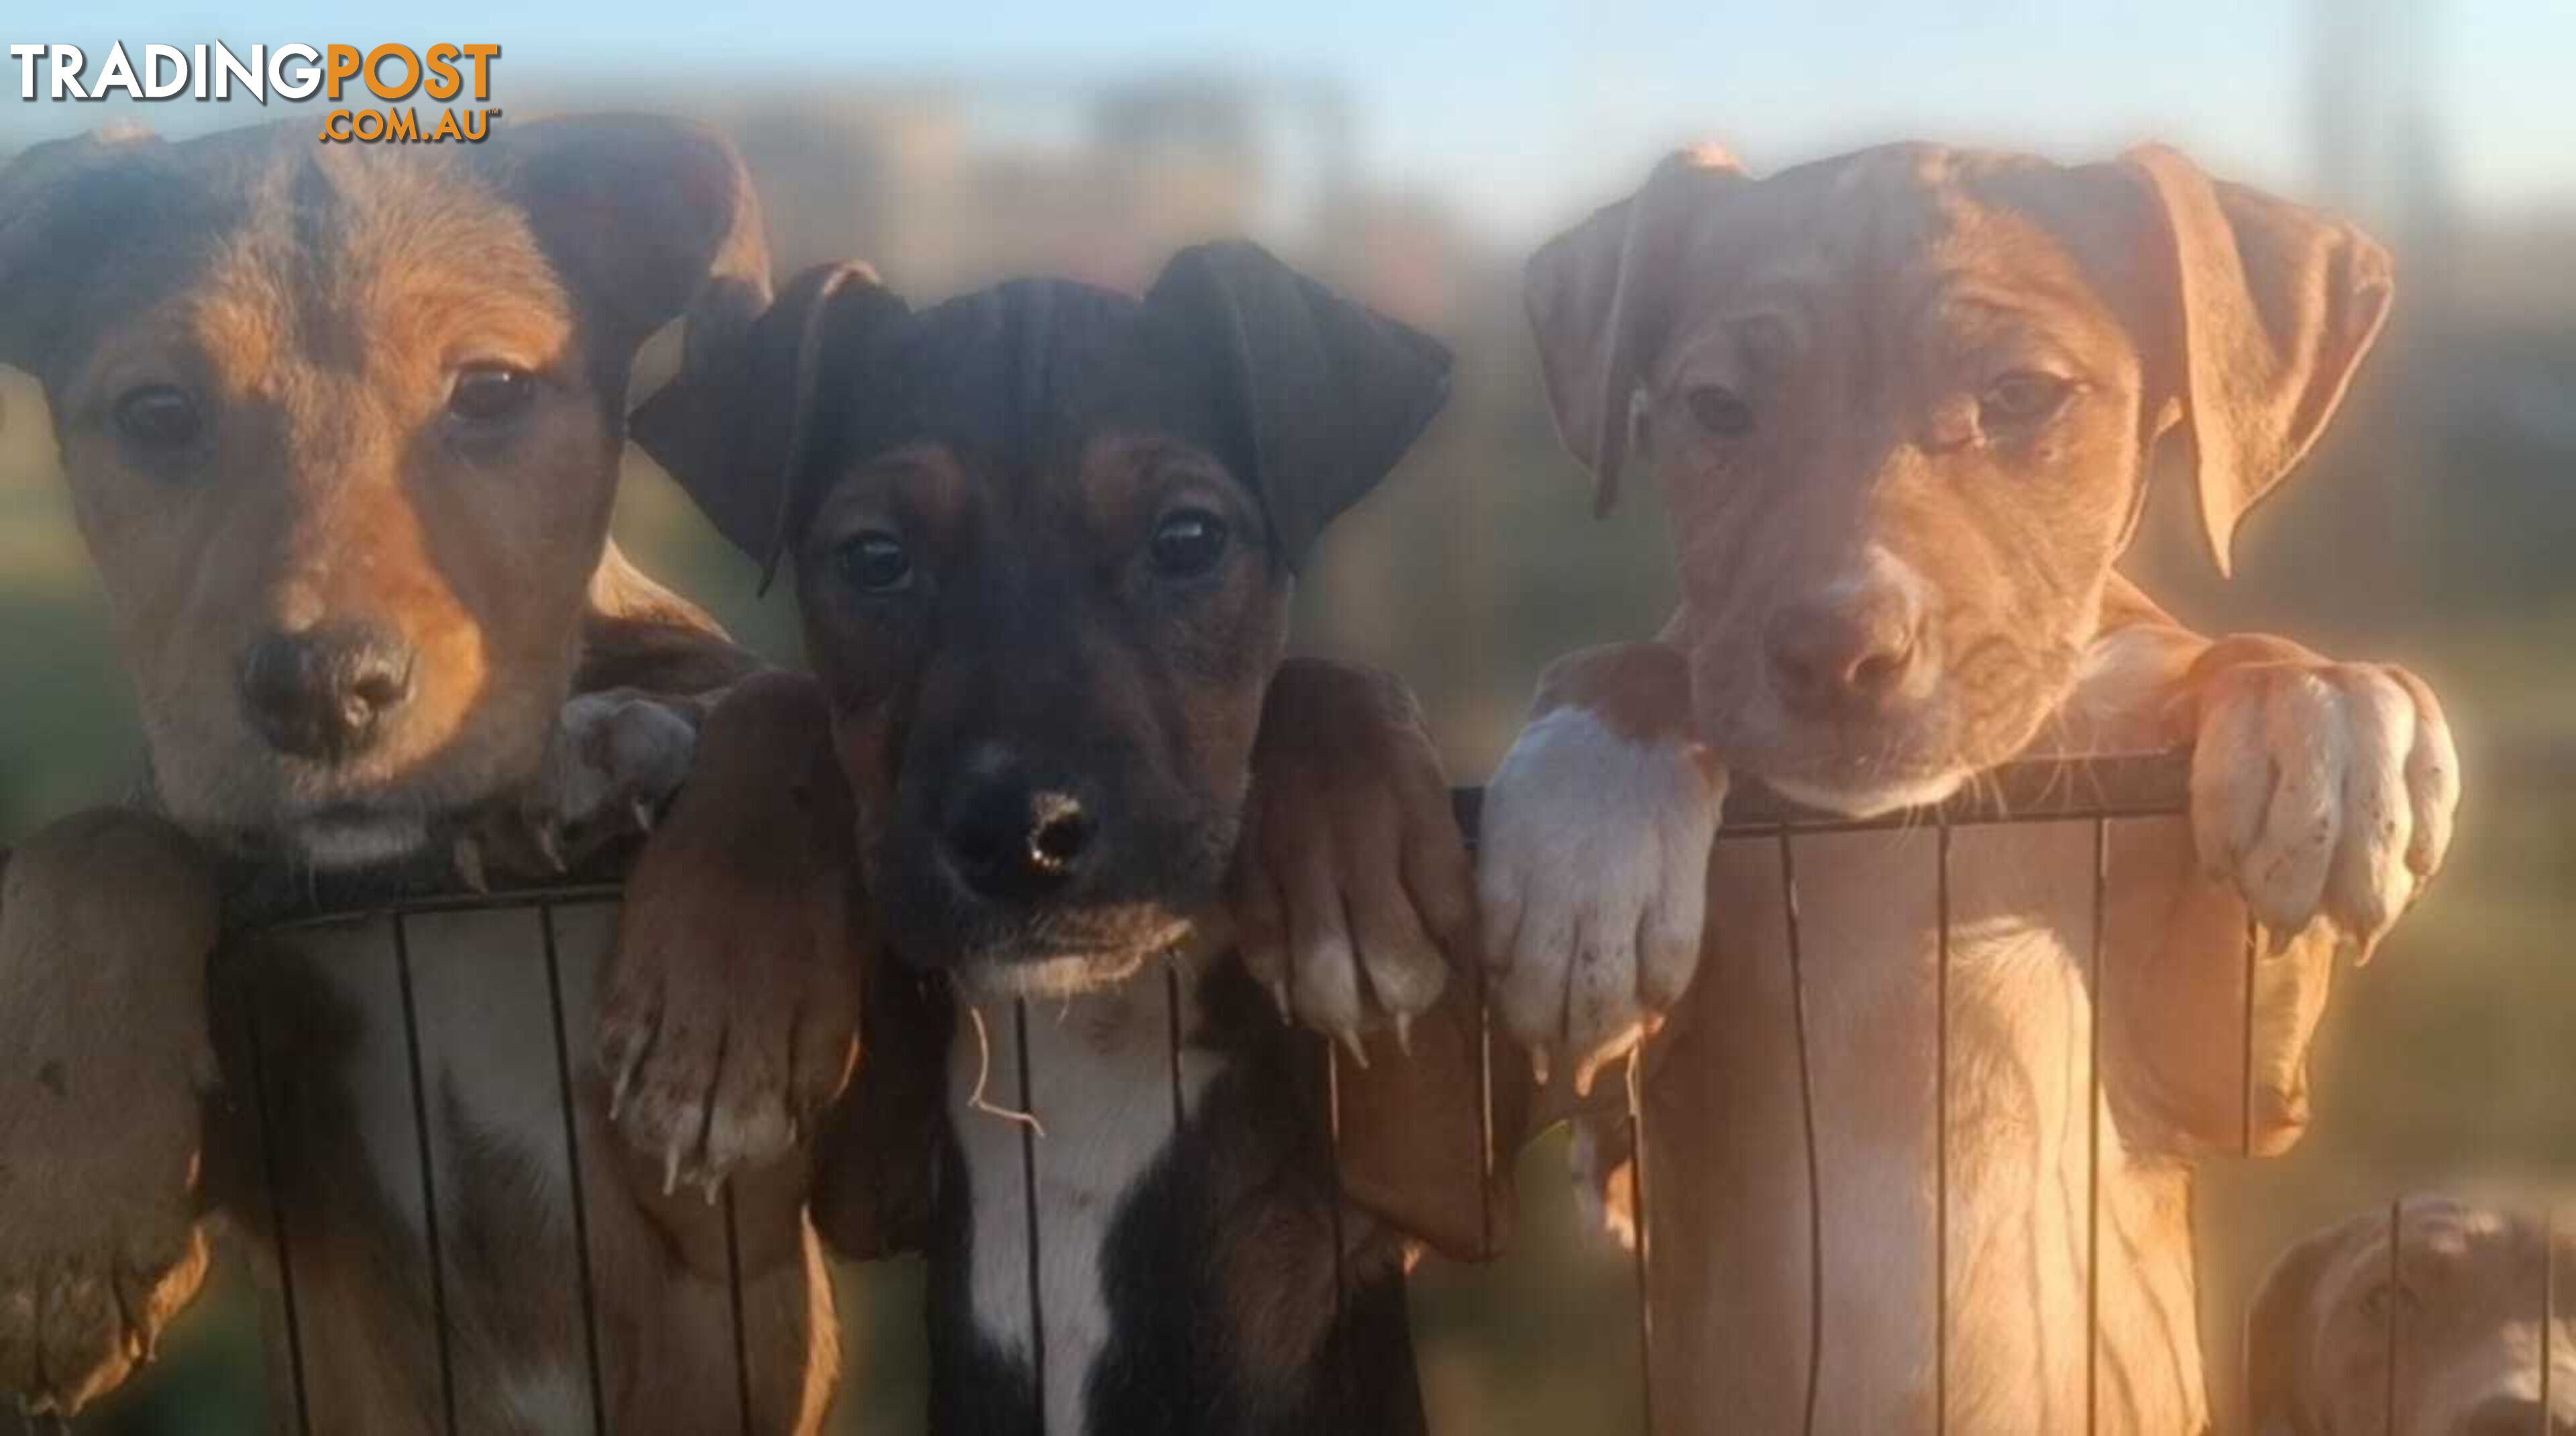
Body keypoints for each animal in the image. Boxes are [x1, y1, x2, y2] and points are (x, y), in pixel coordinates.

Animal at [0, 115, 835, 1431]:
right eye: (156, 413)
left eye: (491, 391)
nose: (321, 690)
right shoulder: (274, 1177)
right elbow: (102, 837)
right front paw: (59, 1229)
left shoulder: (738, 1244)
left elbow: (780, 698)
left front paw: (723, 1011)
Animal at [618, 247, 1504, 1436]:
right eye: (874, 557)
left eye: (1189, 539)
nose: (1018, 835)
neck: (1093, 1009)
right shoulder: (872, 1187)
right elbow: (778, 698)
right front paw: (716, 1003)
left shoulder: (1434, 1182)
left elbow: (1309, 683)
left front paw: (1350, 882)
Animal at [1473, 141, 2452, 1431]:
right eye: (1718, 410)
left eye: (2023, 397)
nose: (1836, 649)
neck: (1914, 826)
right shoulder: (1605, 1103)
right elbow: (1658, 659)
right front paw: (1590, 812)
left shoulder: (2221, 1080)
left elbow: (2226, 679)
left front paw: (2313, 699)